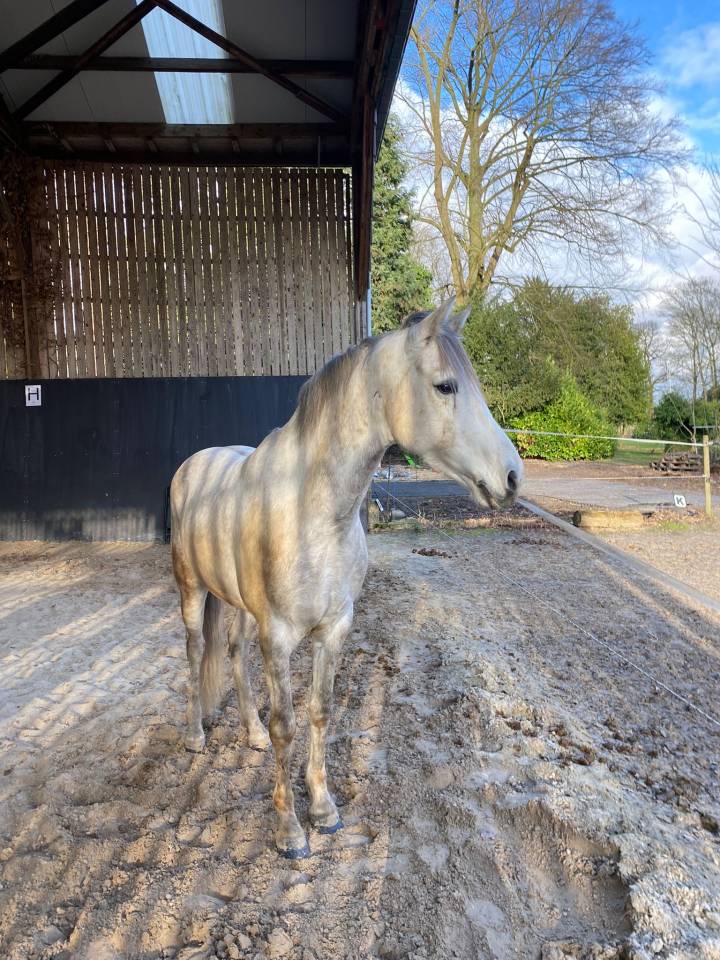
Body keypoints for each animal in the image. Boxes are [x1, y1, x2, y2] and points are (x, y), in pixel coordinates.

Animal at [170, 299, 523, 858]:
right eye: (445, 386)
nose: (511, 476)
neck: (310, 510)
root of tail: (192, 466)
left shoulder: (333, 629)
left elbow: (320, 712)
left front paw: (323, 809)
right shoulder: (278, 637)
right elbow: (287, 726)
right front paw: (290, 831)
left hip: (240, 608)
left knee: (232, 655)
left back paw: (248, 733)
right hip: (191, 591)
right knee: (194, 651)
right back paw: (195, 736)